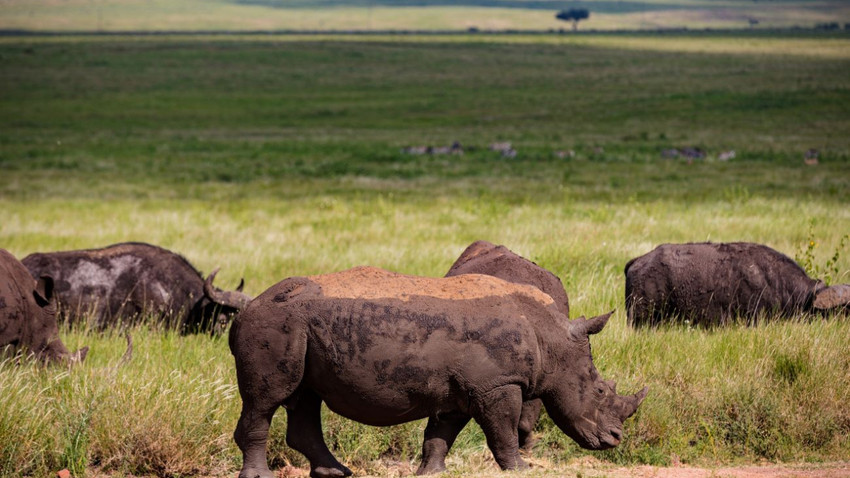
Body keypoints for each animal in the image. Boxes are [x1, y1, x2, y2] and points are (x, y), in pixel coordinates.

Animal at [229, 268, 640, 476]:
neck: (550, 338)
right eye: (600, 391)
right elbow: (504, 431)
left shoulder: (461, 389)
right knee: (268, 399)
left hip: (299, 328)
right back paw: (260, 476)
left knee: (304, 398)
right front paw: (520, 468)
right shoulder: (497, 384)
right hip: (275, 325)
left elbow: (441, 434)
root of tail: (246, 311)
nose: (615, 439)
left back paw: (336, 473)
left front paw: (431, 473)